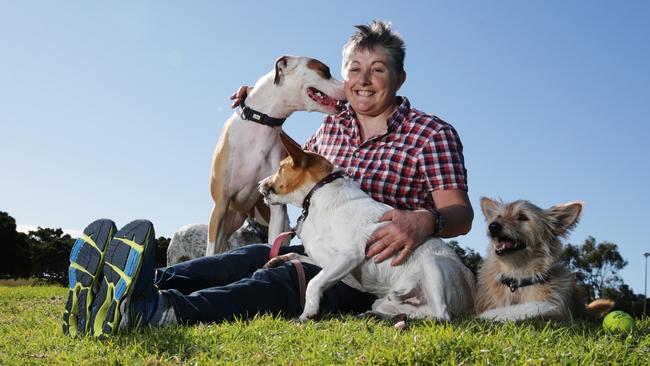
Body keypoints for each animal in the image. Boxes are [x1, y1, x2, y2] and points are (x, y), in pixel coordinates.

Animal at [209, 55, 350, 254]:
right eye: (325, 71)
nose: (348, 85)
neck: (262, 123)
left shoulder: (277, 209)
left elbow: (271, 244)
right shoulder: (220, 205)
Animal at [258, 132, 476, 324]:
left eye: (280, 168)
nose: (259, 184)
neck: (319, 192)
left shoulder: (349, 256)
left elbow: (313, 283)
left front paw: (308, 314)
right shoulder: (325, 260)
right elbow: (297, 256)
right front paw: (277, 260)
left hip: (433, 266)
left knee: (441, 315)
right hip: (385, 301)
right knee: (414, 312)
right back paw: (378, 316)